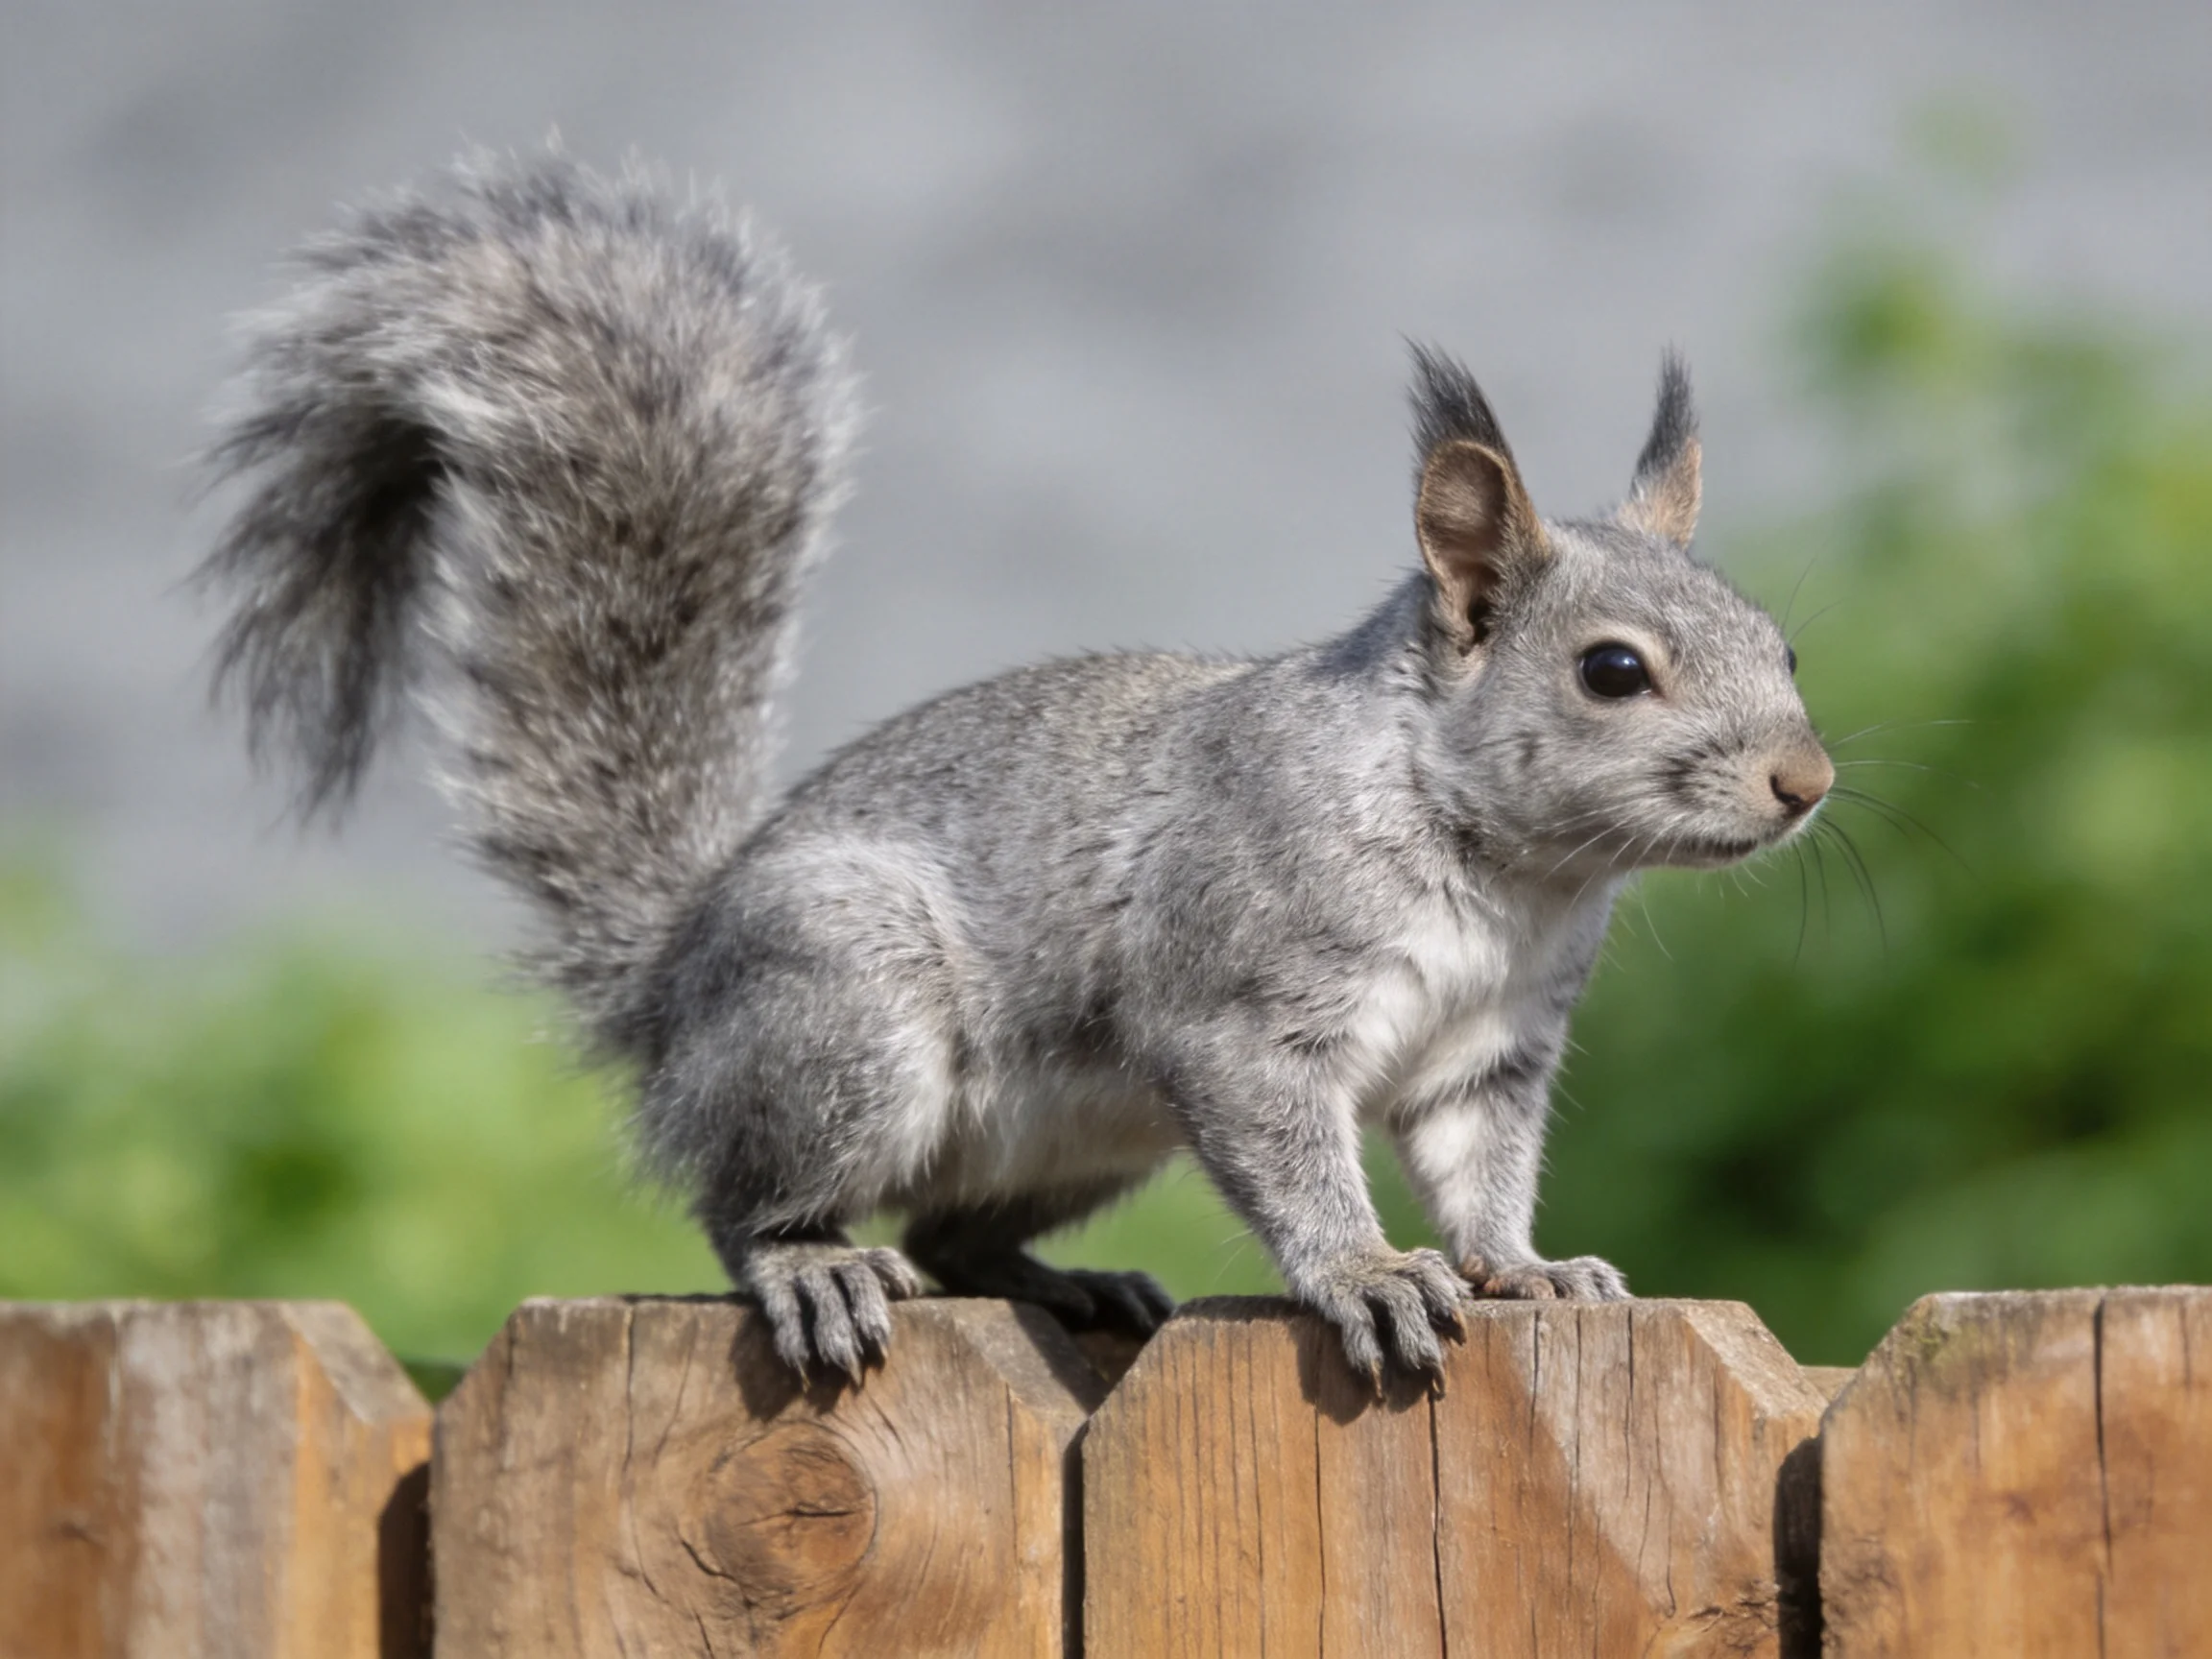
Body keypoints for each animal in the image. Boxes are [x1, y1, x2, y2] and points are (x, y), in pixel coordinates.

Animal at [199, 151, 1833, 1389]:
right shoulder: (1243, 1010)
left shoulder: (1490, 1052)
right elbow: (1300, 1158)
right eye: (1611, 672)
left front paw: (1525, 1268)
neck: (1504, 871)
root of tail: (671, 991)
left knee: (951, 1236)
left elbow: (1483, 1170)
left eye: (1786, 645)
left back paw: (1072, 1285)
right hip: (846, 1022)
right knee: (747, 1203)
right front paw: (1369, 1274)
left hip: (1085, 1132)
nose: (1804, 783)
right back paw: (813, 1268)